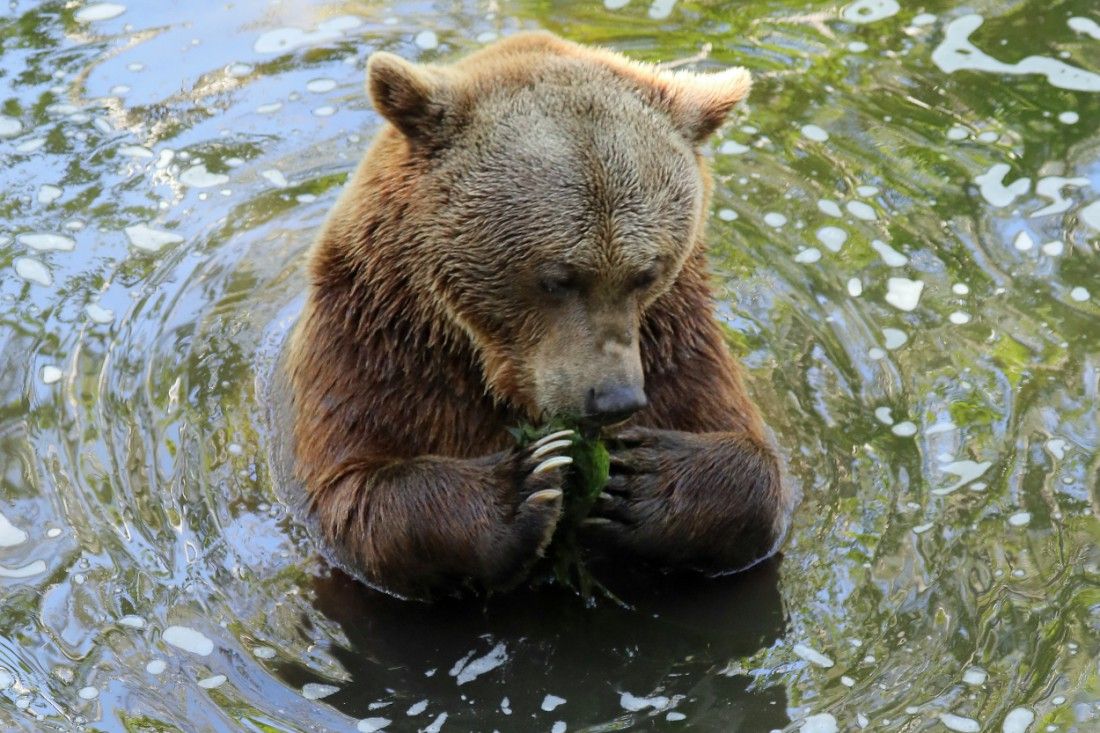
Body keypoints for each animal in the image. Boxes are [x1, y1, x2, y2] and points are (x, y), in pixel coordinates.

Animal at [286, 31, 792, 599]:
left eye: (647, 272)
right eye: (557, 277)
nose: (615, 398)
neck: (492, 368)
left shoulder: (676, 338)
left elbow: (755, 466)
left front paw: (634, 480)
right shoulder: (379, 341)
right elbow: (354, 491)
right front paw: (527, 479)